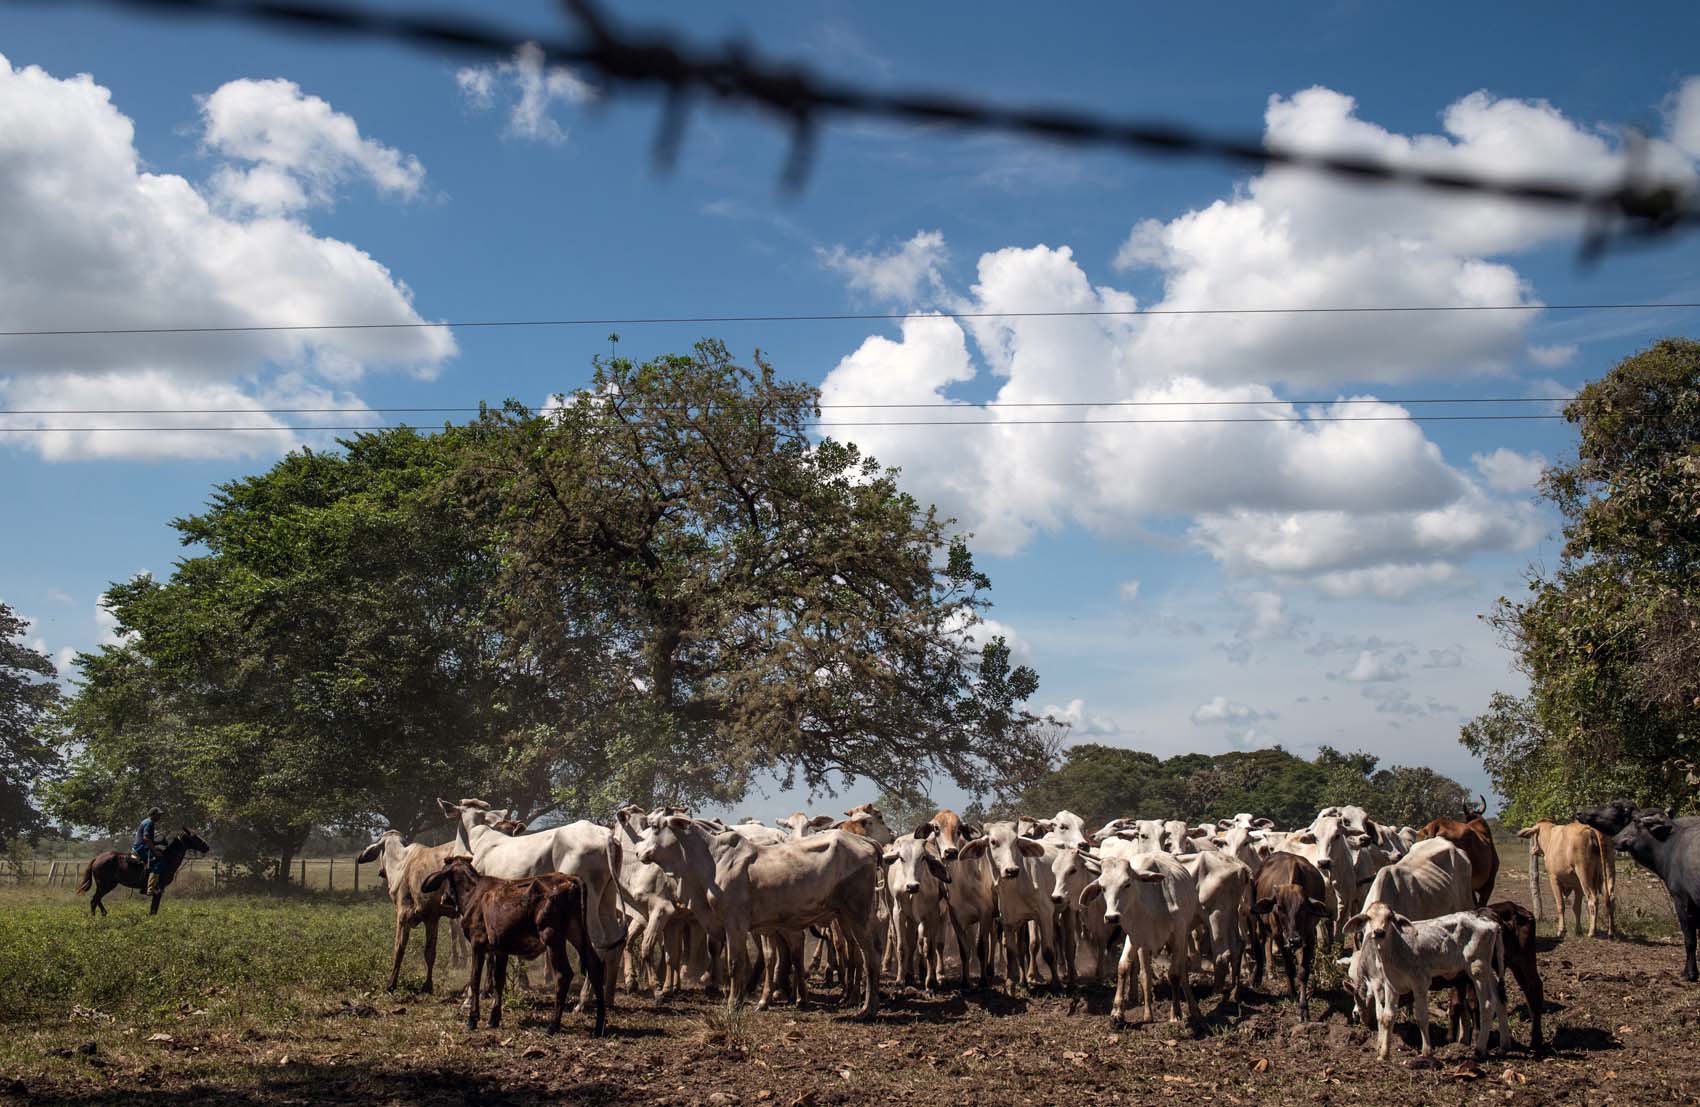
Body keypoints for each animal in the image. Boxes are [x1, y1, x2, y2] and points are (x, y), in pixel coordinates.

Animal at [76, 829, 212, 918]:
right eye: (194, 836)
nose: (207, 846)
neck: (167, 859)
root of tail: (97, 858)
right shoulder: (159, 888)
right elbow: (154, 907)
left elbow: (153, 907)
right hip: (105, 885)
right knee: (94, 900)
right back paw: (96, 917)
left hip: (108, 885)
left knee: (96, 899)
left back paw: (103, 914)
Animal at [421, 857, 608, 1040]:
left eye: (445, 878)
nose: (443, 898)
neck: (473, 893)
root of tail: (570, 879)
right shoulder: (500, 949)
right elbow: (499, 981)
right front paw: (494, 1018)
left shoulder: (477, 942)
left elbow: (474, 979)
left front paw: (472, 1019)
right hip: (577, 932)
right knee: (595, 967)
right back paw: (599, 1026)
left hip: (552, 936)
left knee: (563, 975)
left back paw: (552, 1026)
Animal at [1244, 857, 1332, 1020]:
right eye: (1279, 907)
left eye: (1303, 908)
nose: (1294, 940)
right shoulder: (1279, 936)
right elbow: (1289, 967)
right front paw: (1292, 993)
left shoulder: (1309, 937)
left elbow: (1303, 971)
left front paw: (1303, 1007)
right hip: (1258, 920)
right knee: (1259, 944)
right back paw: (1257, 977)